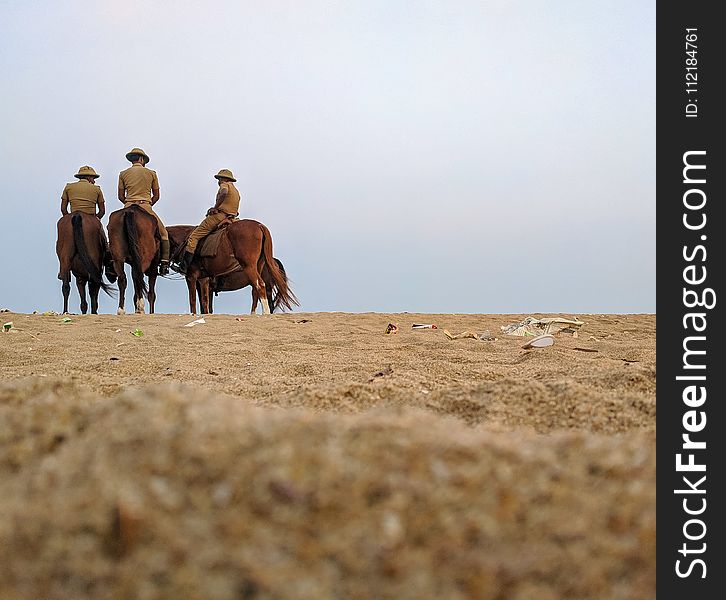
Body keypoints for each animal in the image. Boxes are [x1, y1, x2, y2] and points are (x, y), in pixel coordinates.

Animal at [168, 220, 298, 314]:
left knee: (262, 291)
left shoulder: (194, 278)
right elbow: (205, 304)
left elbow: (196, 301)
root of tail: (259, 226)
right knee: (256, 293)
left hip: (255, 273)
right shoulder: (202, 282)